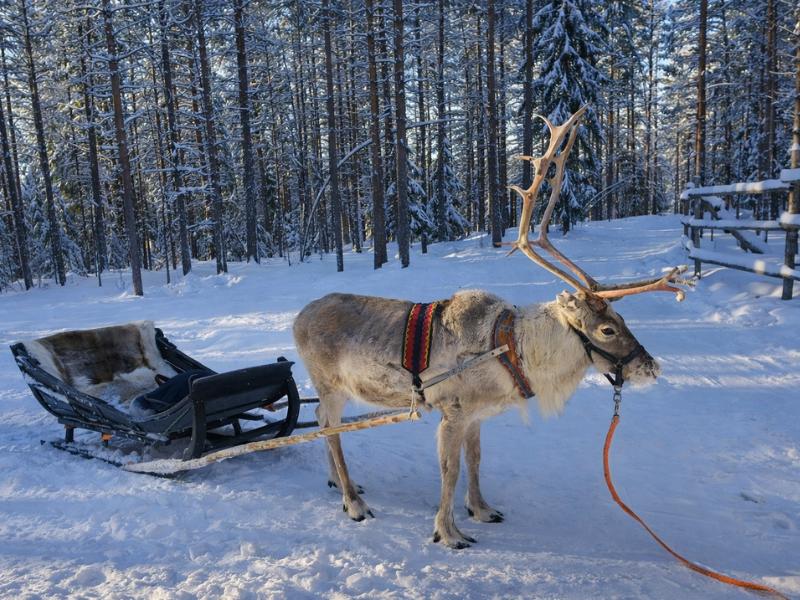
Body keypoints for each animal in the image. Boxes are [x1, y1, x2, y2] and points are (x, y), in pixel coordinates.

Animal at [292, 107, 690, 549]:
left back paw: (341, 484)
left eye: (623, 320)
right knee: (330, 428)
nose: (651, 366)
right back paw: (354, 502)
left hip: (339, 391)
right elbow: (450, 472)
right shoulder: (453, 411)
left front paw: (481, 510)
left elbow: (476, 461)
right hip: (329, 384)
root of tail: (297, 317)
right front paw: (448, 532)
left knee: (324, 423)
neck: (513, 349)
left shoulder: (477, 416)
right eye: (606, 329)